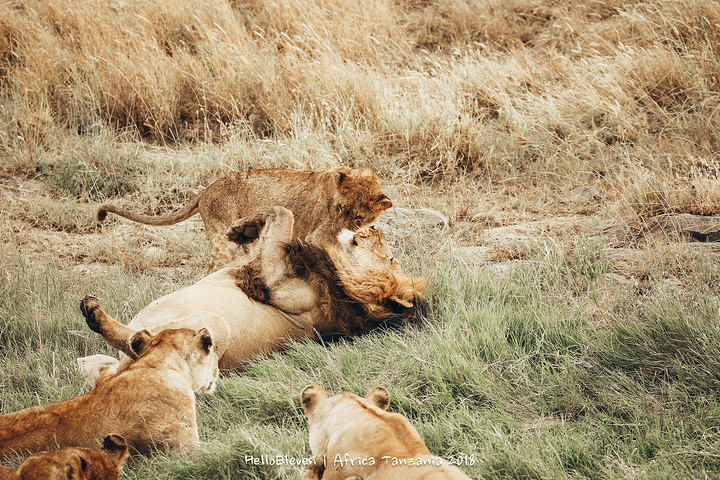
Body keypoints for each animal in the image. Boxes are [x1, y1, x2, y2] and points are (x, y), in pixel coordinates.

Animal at [79, 206, 428, 378]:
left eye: (391, 258)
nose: (375, 227)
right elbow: (280, 216)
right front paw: (243, 228)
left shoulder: (272, 280)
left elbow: (285, 214)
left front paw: (242, 228)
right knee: (104, 371)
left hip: (213, 326)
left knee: (138, 345)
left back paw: (96, 313)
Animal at [97, 166, 394, 270]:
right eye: (339, 209)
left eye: (358, 218)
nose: (344, 230)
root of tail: (206, 190)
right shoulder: (318, 235)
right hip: (222, 239)